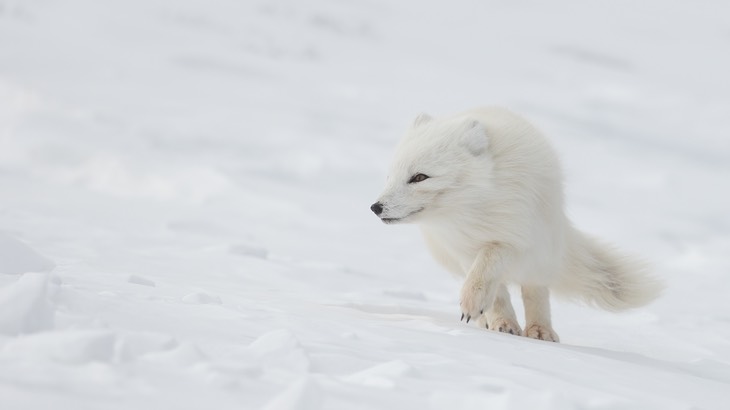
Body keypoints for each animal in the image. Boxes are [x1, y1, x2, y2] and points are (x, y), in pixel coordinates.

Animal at [370, 107, 660, 342]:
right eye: (390, 176)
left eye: (420, 177)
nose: (376, 207)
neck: (471, 212)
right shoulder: (463, 250)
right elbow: (495, 291)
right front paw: (500, 322)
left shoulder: (515, 238)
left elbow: (490, 267)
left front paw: (475, 302)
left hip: (542, 253)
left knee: (536, 292)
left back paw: (540, 331)